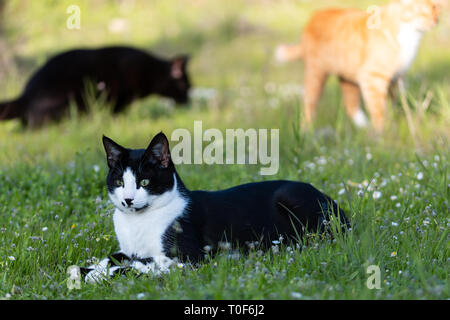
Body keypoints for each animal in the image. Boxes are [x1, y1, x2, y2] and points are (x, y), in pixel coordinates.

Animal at [0, 46, 190, 126]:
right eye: (185, 87)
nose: (188, 101)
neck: (150, 71)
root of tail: (24, 95)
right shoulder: (119, 95)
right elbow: (117, 111)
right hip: (68, 102)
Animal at [81, 131, 350, 282]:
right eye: (119, 182)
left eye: (144, 182)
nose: (127, 199)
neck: (136, 222)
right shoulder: (127, 248)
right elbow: (114, 256)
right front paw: (83, 269)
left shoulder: (190, 257)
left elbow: (142, 263)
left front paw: (97, 274)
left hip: (292, 199)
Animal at [276, 0, 444, 132]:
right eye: (422, 11)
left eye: (436, 7)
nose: (435, 20)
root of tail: (314, 16)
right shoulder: (373, 78)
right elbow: (379, 110)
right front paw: (383, 132)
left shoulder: (395, 79)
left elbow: (390, 105)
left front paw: (390, 123)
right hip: (316, 74)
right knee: (308, 106)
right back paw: (307, 131)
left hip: (348, 77)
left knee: (350, 105)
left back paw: (363, 126)